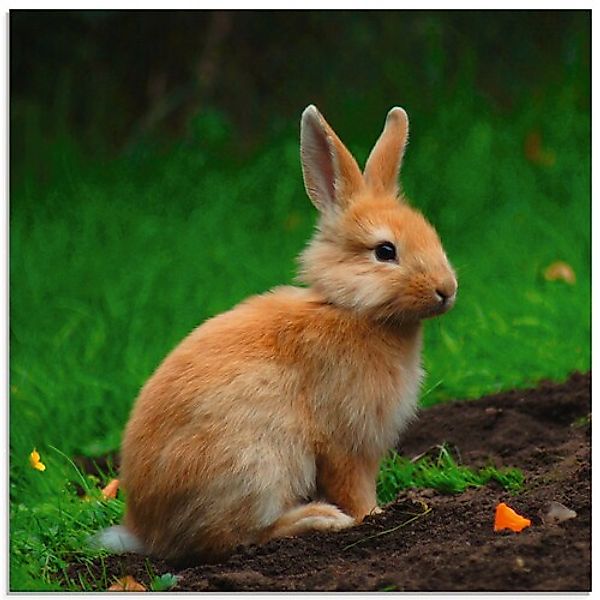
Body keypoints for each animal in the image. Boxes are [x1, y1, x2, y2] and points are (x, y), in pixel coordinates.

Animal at [96, 105, 458, 564]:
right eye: (385, 251)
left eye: (431, 233)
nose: (447, 289)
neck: (351, 309)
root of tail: (146, 531)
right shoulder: (345, 443)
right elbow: (353, 488)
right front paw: (374, 516)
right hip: (256, 468)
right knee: (232, 537)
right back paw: (317, 519)